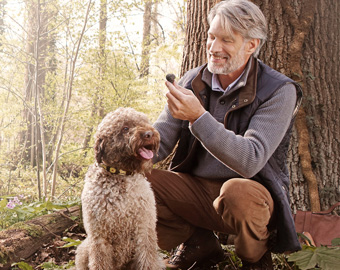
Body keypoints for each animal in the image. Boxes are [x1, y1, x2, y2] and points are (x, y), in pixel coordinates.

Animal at [75, 107, 163, 270]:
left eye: (144, 121)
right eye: (125, 128)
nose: (149, 134)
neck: (121, 176)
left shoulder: (145, 229)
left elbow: (147, 260)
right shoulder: (99, 236)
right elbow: (100, 262)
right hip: (84, 248)